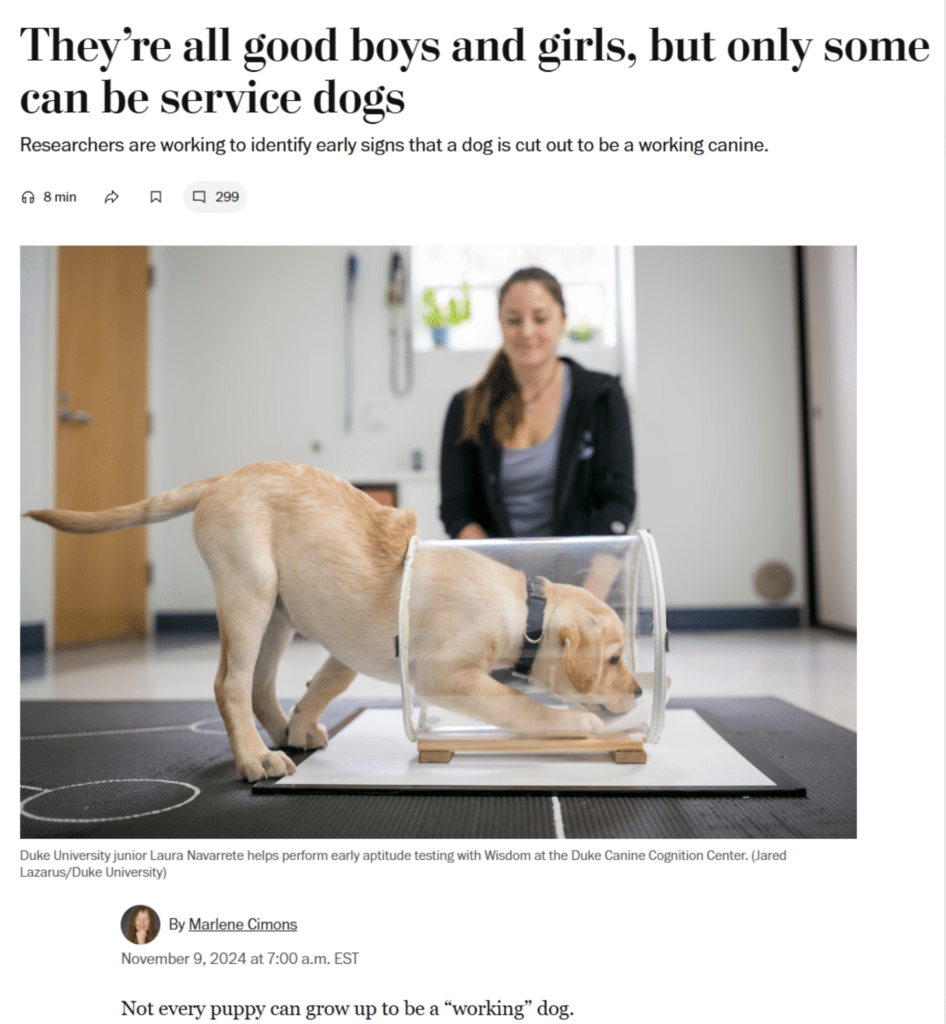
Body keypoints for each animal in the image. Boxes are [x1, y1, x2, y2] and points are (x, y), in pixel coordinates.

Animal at [25, 460, 638, 778]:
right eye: (613, 659)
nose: (638, 692)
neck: (524, 609)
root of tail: (224, 478)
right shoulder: (444, 675)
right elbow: (518, 704)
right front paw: (573, 724)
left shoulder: (348, 649)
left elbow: (327, 682)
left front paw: (302, 722)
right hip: (249, 592)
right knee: (230, 684)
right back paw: (255, 758)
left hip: (278, 611)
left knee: (260, 686)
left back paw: (283, 734)